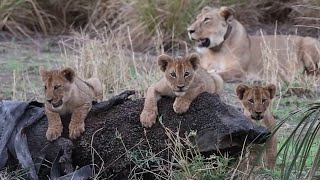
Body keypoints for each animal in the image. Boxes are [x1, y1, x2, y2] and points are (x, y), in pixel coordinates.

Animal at [188, 6, 320, 82]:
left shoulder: (239, 71)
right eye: (196, 18)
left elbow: (218, 74)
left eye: (207, 19)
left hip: (309, 43)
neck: (216, 50)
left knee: (314, 74)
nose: (189, 30)